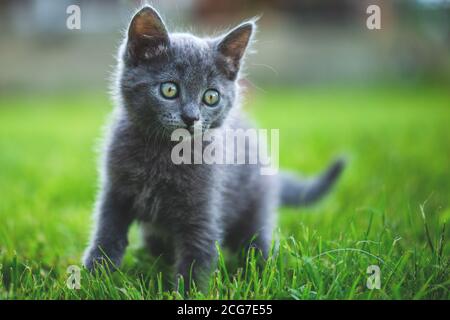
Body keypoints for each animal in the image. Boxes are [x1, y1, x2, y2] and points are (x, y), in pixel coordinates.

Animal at [83, 6, 344, 288]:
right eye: (169, 89)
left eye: (211, 96)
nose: (191, 117)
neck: (163, 154)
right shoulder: (115, 191)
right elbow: (107, 233)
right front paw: (94, 279)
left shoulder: (204, 205)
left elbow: (199, 251)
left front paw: (187, 291)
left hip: (254, 205)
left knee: (256, 241)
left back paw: (264, 270)